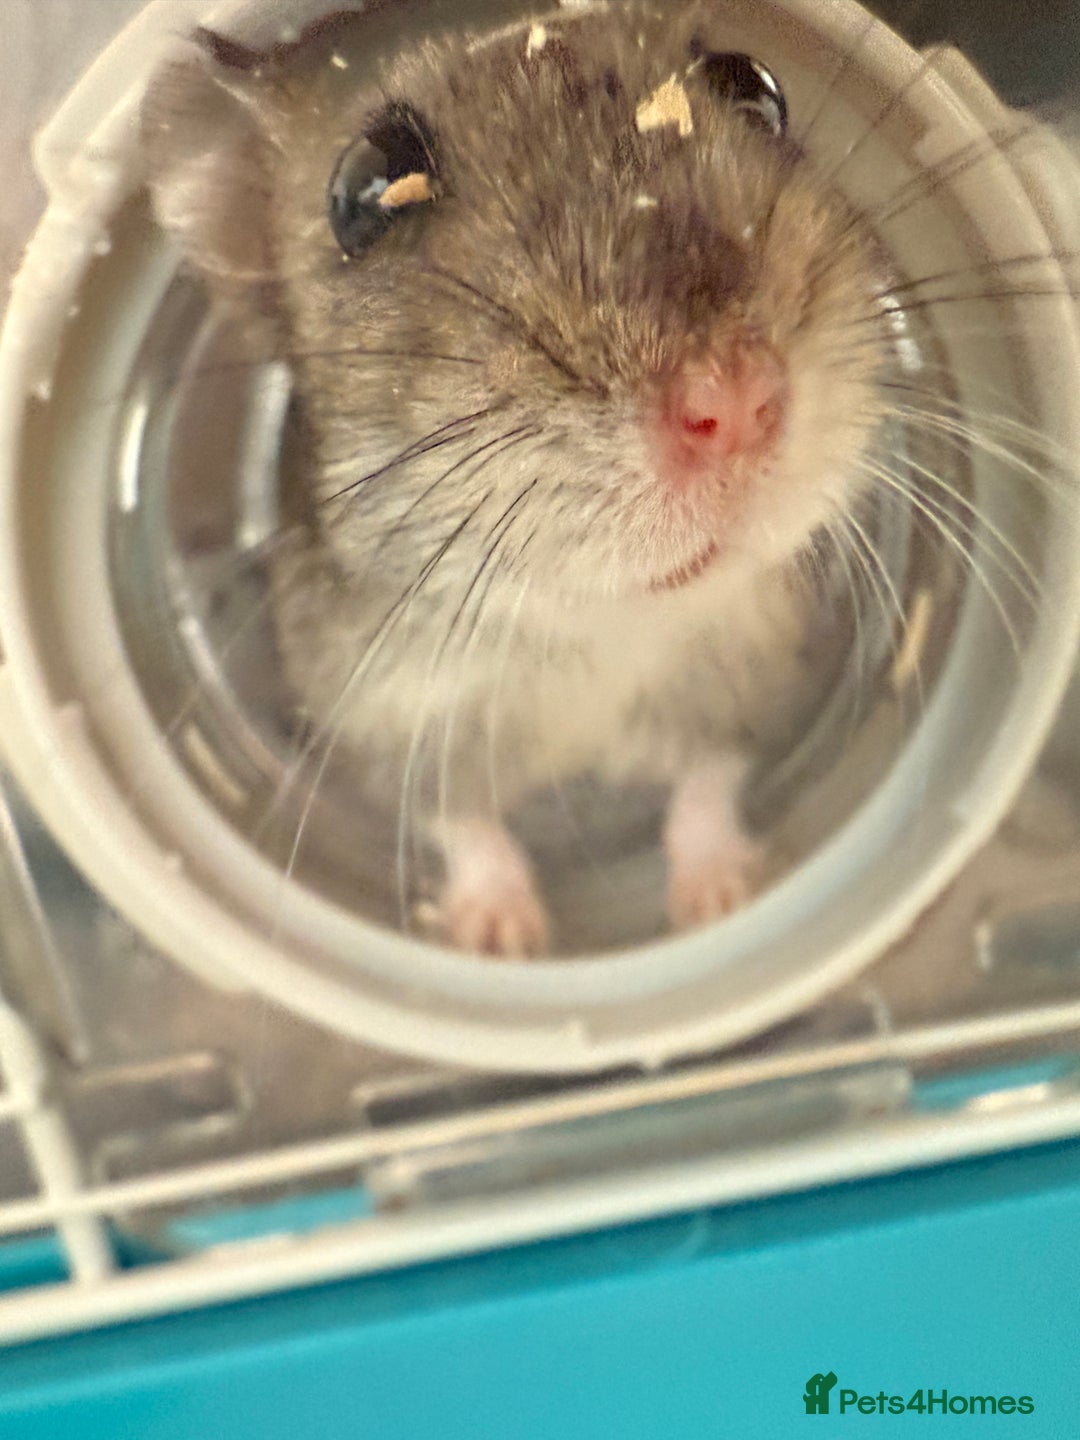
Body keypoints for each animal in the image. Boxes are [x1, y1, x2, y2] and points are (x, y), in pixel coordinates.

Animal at [141, 1, 887, 957]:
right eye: (363, 190)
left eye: (753, 88)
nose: (732, 400)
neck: (594, 624)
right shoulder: (384, 715)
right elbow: (462, 822)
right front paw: (504, 938)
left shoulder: (753, 670)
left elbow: (709, 778)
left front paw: (720, 899)